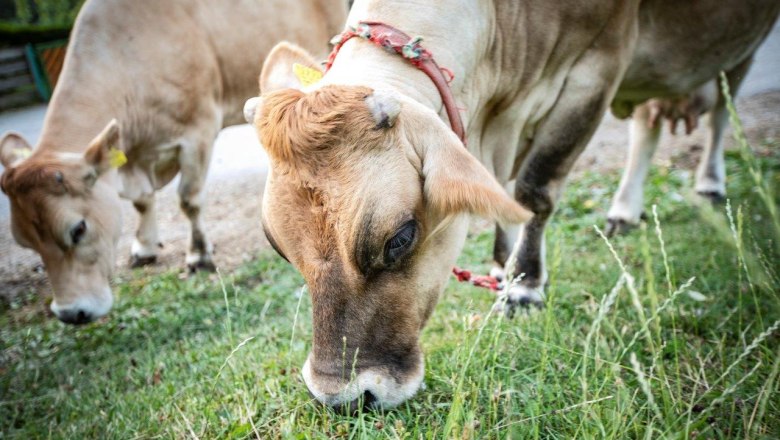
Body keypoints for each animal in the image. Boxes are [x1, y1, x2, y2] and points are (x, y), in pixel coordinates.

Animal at [0, 0, 348, 324]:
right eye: (26, 243)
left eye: (78, 229)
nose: (71, 313)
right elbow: (142, 201)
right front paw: (144, 247)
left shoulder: (197, 132)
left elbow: (188, 200)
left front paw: (198, 256)